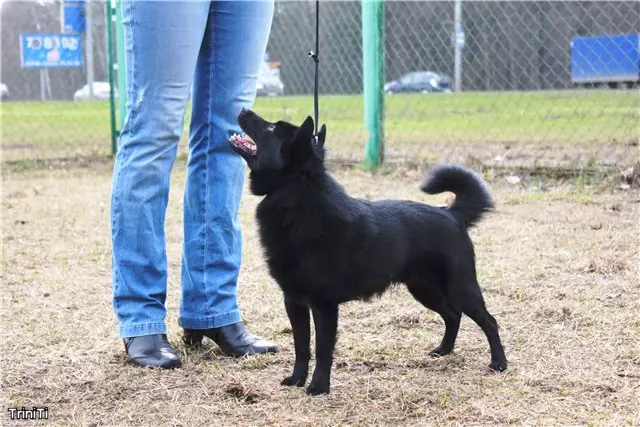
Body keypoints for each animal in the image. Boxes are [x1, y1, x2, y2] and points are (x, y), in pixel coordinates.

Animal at [228, 108, 508, 396]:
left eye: (271, 128)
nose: (244, 110)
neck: (295, 192)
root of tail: (451, 214)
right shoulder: (294, 301)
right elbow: (301, 346)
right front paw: (296, 379)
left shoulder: (323, 305)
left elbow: (322, 348)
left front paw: (319, 386)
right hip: (424, 289)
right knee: (452, 315)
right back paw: (444, 350)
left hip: (461, 289)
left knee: (489, 321)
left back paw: (499, 363)